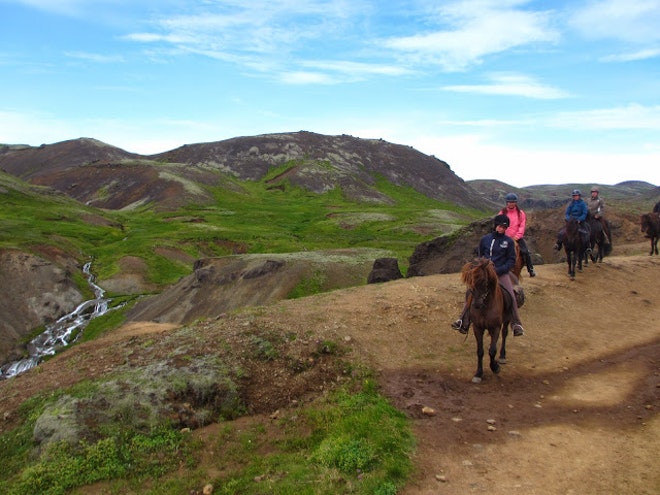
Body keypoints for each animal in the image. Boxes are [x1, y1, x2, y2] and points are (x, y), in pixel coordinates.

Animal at [458, 258, 516, 386]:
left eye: (484, 281)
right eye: (469, 280)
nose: (476, 304)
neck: (485, 307)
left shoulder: (496, 327)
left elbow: (492, 351)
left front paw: (495, 367)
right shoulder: (477, 328)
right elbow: (480, 351)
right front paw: (478, 373)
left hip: (507, 319)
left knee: (504, 334)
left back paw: (502, 356)